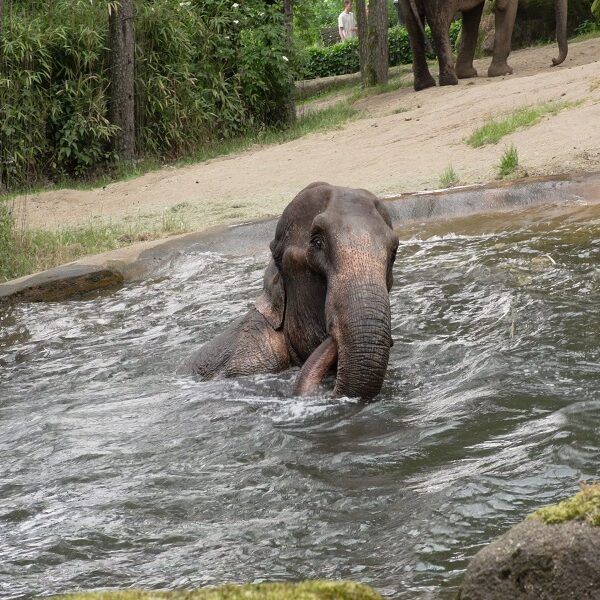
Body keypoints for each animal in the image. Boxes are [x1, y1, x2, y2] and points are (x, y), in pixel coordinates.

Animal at [400, 0, 568, 91]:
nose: (553, 61)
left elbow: (472, 13)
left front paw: (467, 75)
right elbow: (504, 6)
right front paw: (504, 72)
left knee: (412, 28)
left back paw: (424, 85)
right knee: (439, 23)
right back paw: (450, 82)